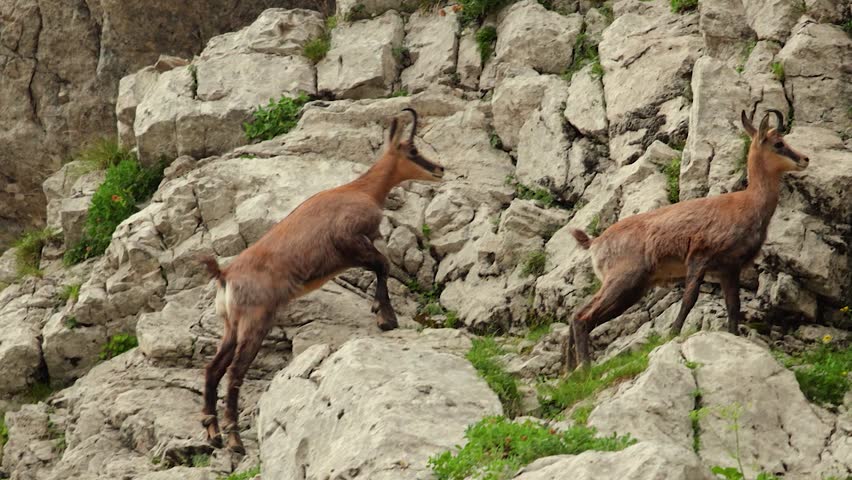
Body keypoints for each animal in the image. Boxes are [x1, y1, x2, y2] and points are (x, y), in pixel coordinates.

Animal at [199, 109, 444, 453]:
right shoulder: (349, 241)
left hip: (230, 326)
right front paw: (386, 317)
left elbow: (380, 267)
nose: (439, 169)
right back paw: (234, 439)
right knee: (234, 373)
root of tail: (224, 275)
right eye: (412, 150)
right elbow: (382, 266)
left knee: (213, 370)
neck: (362, 190)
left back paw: (213, 432)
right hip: (255, 321)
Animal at [564, 109, 809, 369]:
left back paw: (570, 370)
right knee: (583, 317)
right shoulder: (699, 257)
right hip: (624, 280)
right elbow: (689, 299)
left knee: (577, 314)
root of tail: (595, 242)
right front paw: (673, 333)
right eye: (779, 143)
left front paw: (734, 337)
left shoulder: (729, 268)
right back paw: (584, 369)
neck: (747, 204)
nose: (805, 159)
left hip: (630, 287)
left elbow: (734, 306)